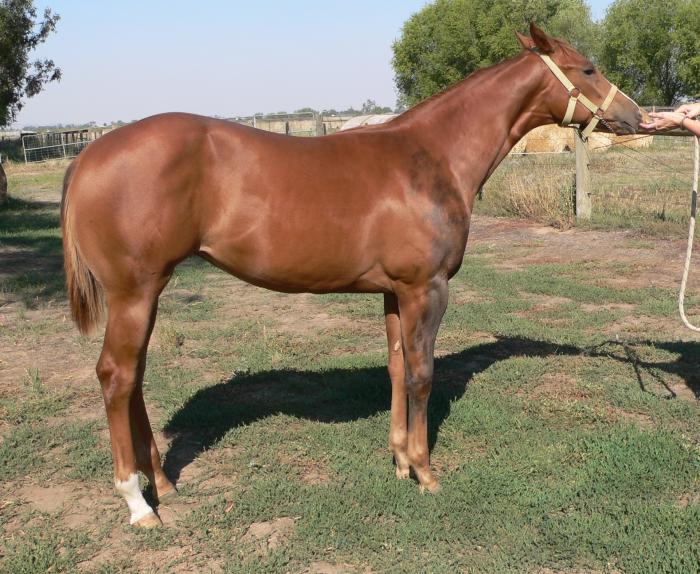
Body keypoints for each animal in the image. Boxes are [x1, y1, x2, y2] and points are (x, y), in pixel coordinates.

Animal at [61, 23, 641, 527]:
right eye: (588, 69)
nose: (634, 116)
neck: (431, 155)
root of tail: (89, 154)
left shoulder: (393, 293)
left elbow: (396, 368)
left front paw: (401, 461)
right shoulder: (426, 289)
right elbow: (422, 373)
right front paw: (426, 472)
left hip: (147, 293)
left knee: (133, 378)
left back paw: (162, 481)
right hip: (134, 292)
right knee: (115, 376)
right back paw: (138, 502)